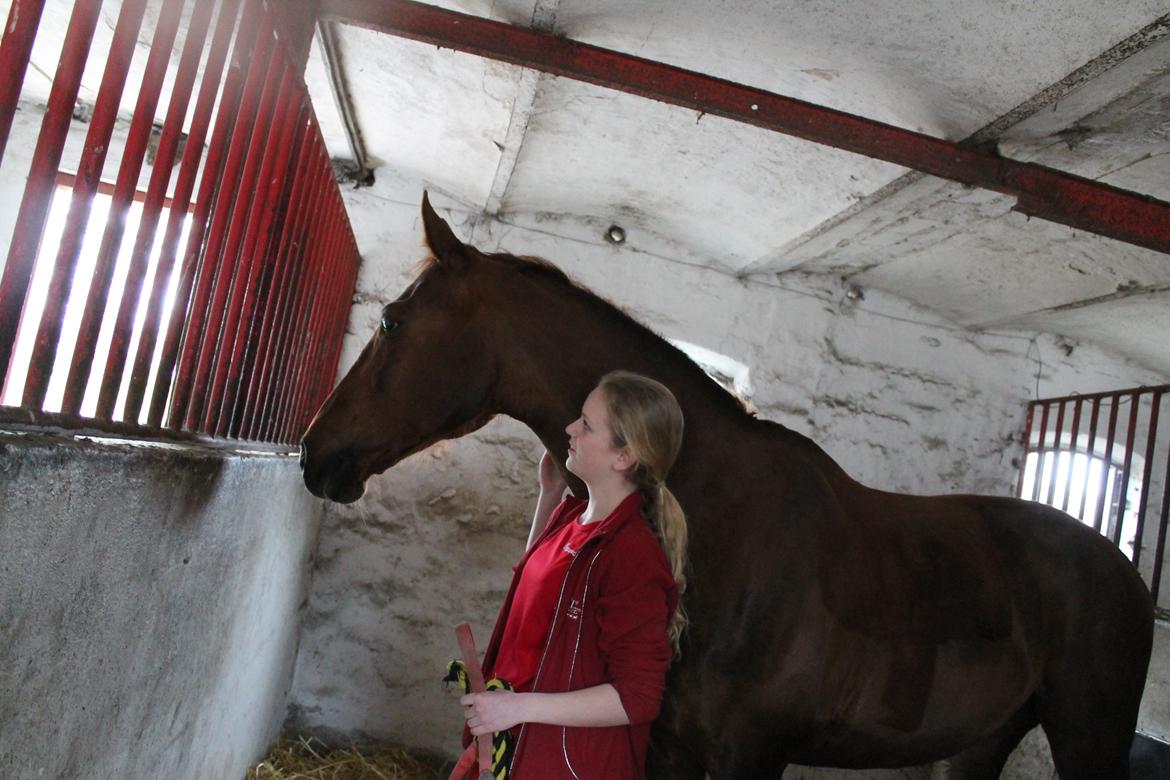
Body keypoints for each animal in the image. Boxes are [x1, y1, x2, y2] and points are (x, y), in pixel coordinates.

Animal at [299, 194, 1151, 780]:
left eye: (393, 321)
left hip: (1089, 740)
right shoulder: (668, 740)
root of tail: (1126, 571)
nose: (313, 453)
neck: (724, 528)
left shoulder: (751, 753)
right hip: (980, 745)